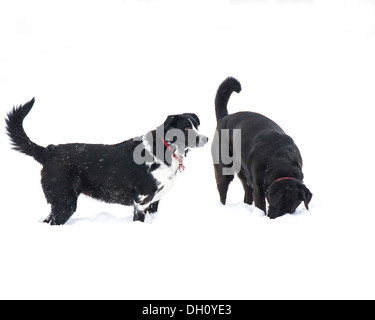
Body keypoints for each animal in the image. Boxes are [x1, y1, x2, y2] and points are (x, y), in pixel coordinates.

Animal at [5, 98, 209, 225]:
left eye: (196, 126)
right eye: (185, 128)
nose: (206, 139)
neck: (165, 149)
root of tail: (49, 150)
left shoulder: (154, 203)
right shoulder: (141, 201)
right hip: (64, 202)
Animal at [213, 76, 312, 219]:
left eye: (292, 208)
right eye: (278, 204)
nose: (276, 217)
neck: (281, 160)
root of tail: (224, 118)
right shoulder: (259, 188)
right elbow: (260, 205)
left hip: (244, 172)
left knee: (247, 191)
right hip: (224, 168)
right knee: (223, 189)